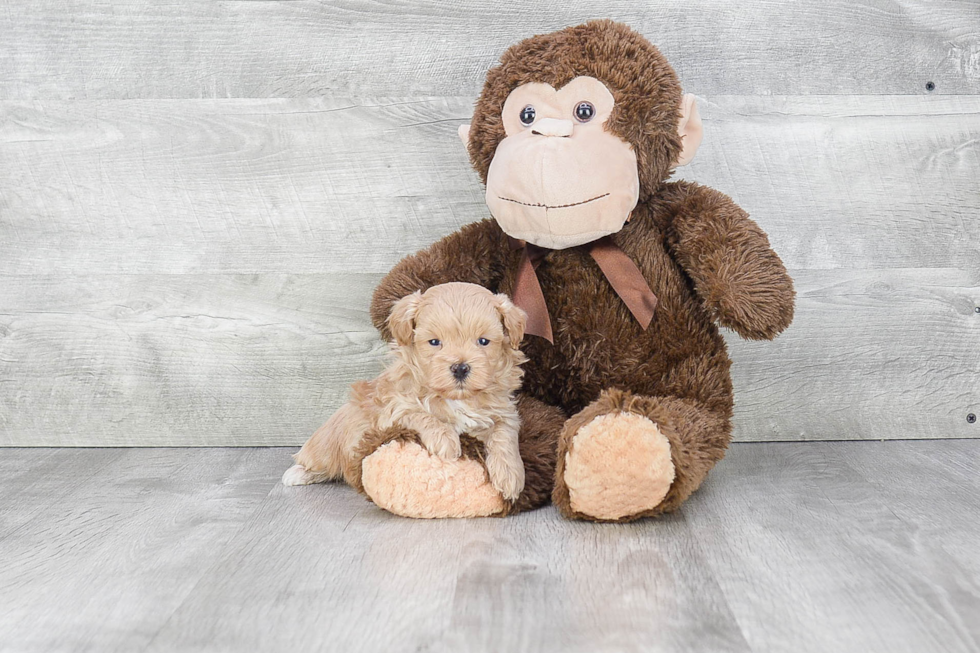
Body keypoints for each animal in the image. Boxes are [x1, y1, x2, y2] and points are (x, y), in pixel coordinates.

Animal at [282, 282, 528, 502]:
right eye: (434, 342)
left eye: (483, 341)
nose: (460, 367)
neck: (456, 398)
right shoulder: (393, 408)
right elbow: (420, 413)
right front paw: (445, 440)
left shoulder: (504, 412)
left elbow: (504, 435)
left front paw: (511, 476)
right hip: (328, 442)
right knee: (319, 460)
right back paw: (297, 473)